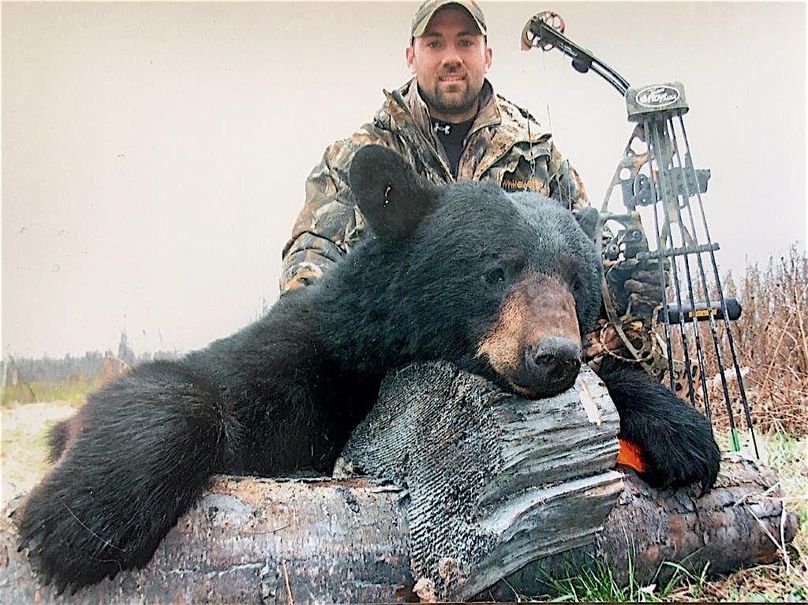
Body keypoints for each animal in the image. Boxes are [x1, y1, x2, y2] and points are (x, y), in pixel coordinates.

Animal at [17, 144, 720, 593]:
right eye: (495, 271)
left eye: (577, 284)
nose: (553, 356)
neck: (386, 350)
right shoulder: (306, 359)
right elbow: (187, 386)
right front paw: (79, 520)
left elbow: (622, 376)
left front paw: (684, 435)